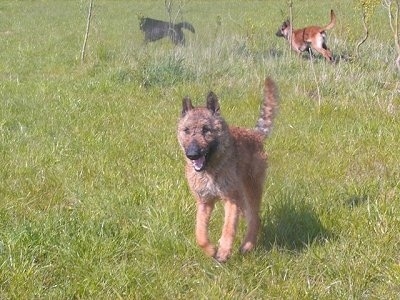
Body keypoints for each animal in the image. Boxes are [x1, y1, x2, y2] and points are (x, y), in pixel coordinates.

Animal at [177, 78, 278, 262]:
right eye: (186, 130)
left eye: (206, 130)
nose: (192, 154)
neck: (211, 170)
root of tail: (255, 135)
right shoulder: (204, 202)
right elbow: (200, 234)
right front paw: (211, 250)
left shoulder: (231, 200)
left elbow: (228, 228)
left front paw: (223, 252)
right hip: (243, 201)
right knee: (254, 218)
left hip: (250, 192)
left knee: (255, 219)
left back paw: (247, 246)